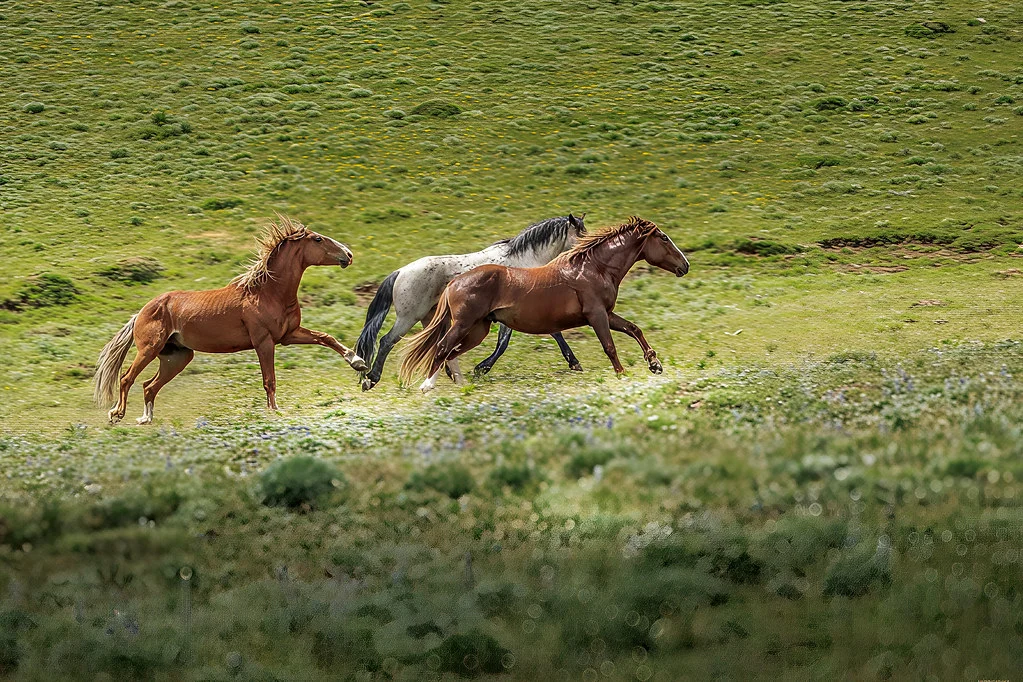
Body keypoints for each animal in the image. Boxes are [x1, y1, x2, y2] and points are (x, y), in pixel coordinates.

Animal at [93, 215, 367, 424]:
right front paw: (274, 411)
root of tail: (141, 312)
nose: (349, 255)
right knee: (127, 378)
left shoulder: (289, 335)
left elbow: (326, 337)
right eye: (318, 239)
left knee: (149, 386)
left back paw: (145, 419)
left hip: (178, 356)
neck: (267, 292)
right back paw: (116, 414)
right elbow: (269, 380)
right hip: (149, 349)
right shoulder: (264, 341)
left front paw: (358, 362)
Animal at [355, 214, 588, 391]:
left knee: (440, 346)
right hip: (409, 317)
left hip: (431, 318)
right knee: (387, 341)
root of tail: (400, 272)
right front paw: (481, 368)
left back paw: (454, 377)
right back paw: (372, 379)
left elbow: (548, 334)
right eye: (581, 234)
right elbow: (507, 342)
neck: (523, 260)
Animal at [399, 217, 689, 393]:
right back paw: (427, 386)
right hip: (464, 325)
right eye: (664, 238)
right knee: (442, 347)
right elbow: (609, 347)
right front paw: (622, 375)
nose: (685, 266)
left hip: (478, 329)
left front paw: (655, 364)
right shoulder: (596, 315)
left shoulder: (607, 314)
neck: (594, 268)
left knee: (450, 352)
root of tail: (454, 283)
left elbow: (634, 329)